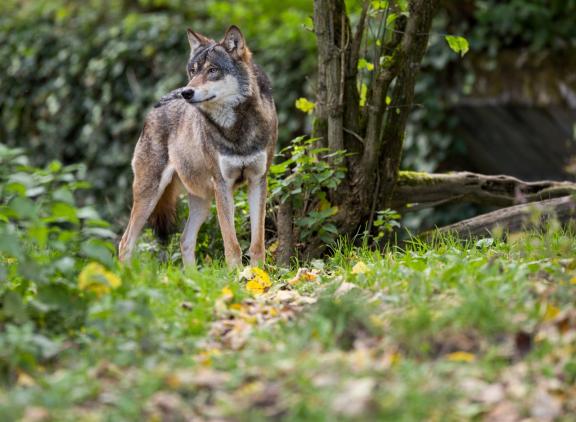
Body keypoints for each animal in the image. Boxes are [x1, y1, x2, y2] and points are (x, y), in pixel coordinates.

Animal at [118, 26, 278, 268]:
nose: (187, 92)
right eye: (193, 71)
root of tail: (156, 106)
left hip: (202, 200)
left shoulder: (258, 180)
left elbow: (257, 244)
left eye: (212, 70)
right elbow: (232, 245)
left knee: (184, 240)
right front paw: (237, 275)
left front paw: (258, 274)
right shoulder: (223, 185)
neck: (236, 129)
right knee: (125, 242)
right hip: (150, 194)